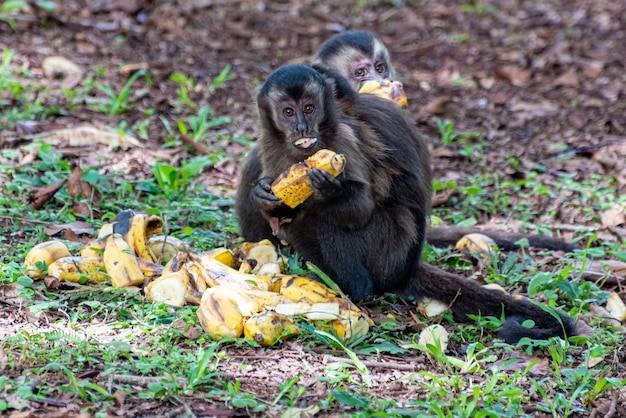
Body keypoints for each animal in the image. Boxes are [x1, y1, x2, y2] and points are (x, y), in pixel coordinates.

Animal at [232, 63, 572, 342]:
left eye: (309, 107)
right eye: (288, 112)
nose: (302, 127)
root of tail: (404, 267)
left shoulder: (343, 137)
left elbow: (361, 207)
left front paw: (330, 190)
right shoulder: (271, 141)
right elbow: (281, 205)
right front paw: (264, 195)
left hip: (388, 251)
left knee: (326, 220)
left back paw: (353, 287)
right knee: (295, 220)